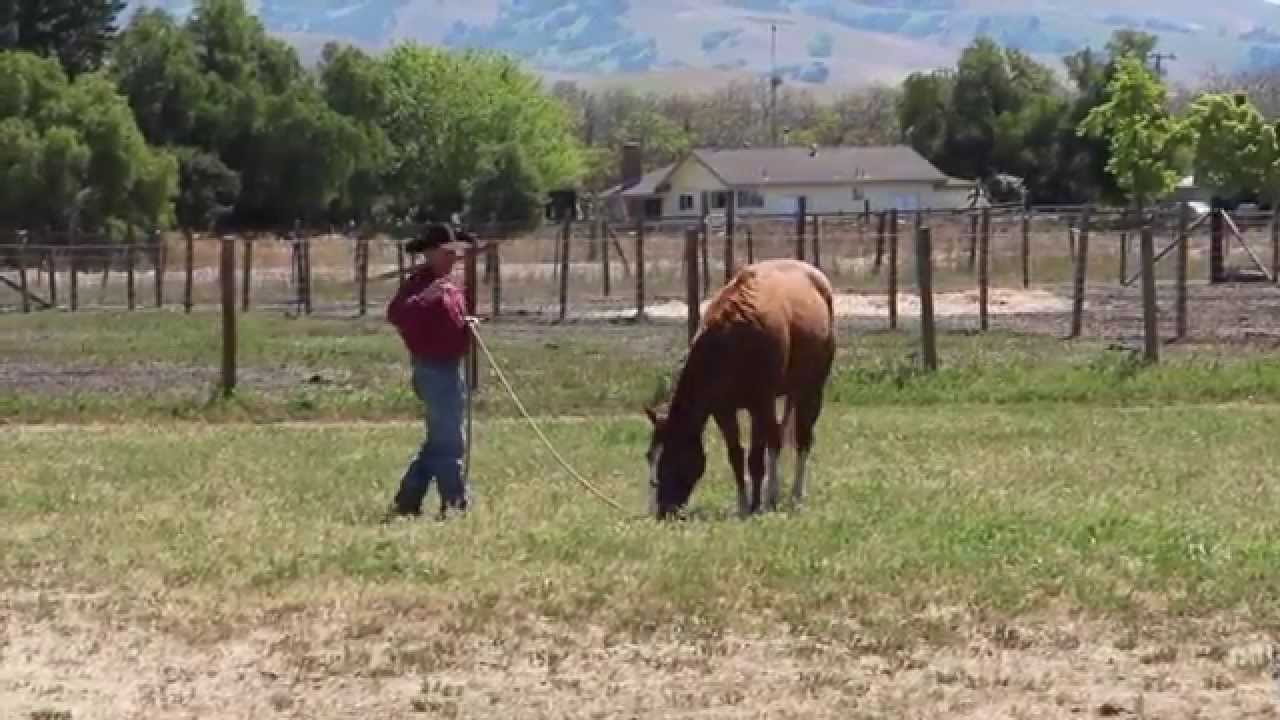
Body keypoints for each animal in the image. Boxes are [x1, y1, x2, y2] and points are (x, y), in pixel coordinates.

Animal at [643, 257, 836, 519]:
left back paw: (793, 496)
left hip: (811, 390)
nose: (663, 512)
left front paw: (761, 503)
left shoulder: (760, 403)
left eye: (672, 457)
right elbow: (736, 455)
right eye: (649, 456)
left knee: (801, 441)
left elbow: (761, 455)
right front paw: (745, 504)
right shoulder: (724, 410)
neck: (732, 343)